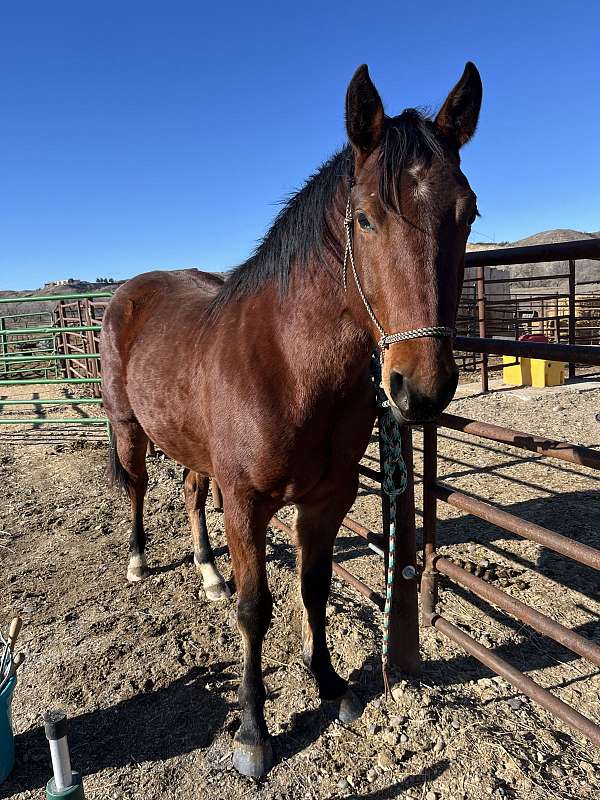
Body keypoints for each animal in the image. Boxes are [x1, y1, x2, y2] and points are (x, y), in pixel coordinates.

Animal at [100, 61, 482, 778]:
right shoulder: (247, 502)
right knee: (136, 488)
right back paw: (138, 563)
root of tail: (128, 292)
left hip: (196, 449)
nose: (421, 388)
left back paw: (207, 573)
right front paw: (253, 731)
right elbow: (256, 610)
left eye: (468, 213)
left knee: (191, 493)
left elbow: (314, 587)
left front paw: (331, 685)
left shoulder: (327, 498)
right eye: (364, 219)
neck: (286, 364)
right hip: (127, 426)